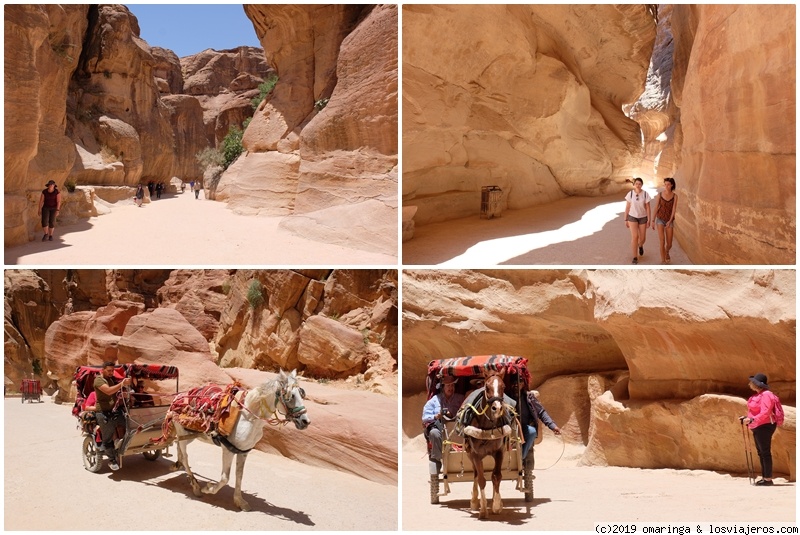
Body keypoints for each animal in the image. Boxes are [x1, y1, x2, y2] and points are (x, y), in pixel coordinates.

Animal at [166, 370, 310, 512]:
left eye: (302, 394)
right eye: (291, 396)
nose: (305, 421)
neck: (248, 418)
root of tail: (177, 398)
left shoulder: (243, 451)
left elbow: (239, 475)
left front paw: (240, 501)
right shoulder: (228, 450)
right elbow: (225, 478)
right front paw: (209, 488)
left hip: (189, 435)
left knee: (180, 449)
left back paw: (179, 467)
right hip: (182, 432)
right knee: (185, 457)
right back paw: (195, 486)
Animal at [462, 370, 512, 516]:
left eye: (503, 386)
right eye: (487, 386)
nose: (497, 408)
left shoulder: (499, 452)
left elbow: (497, 476)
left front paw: (496, 505)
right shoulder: (476, 454)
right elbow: (481, 479)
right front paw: (483, 510)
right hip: (469, 454)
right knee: (475, 474)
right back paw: (474, 501)